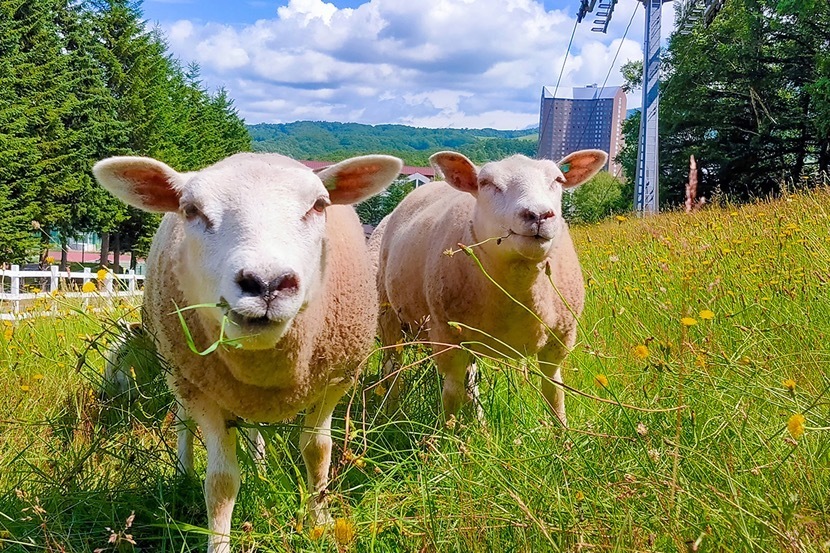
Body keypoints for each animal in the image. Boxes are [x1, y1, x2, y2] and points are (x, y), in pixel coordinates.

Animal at [92, 152, 404, 552]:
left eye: (319, 205)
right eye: (191, 210)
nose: (267, 284)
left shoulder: (333, 383)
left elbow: (317, 451)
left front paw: (320, 522)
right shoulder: (203, 393)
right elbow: (221, 482)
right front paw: (219, 542)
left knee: (257, 430)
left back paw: (261, 466)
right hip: (178, 370)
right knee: (183, 423)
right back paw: (183, 473)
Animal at [376, 149, 604, 424]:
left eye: (558, 180)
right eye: (486, 183)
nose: (539, 215)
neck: (518, 289)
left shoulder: (561, 338)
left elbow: (554, 392)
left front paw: (562, 433)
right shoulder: (447, 336)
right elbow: (451, 394)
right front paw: (447, 434)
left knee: (471, 382)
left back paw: (480, 424)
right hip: (388, 312)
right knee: (393, 368)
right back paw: (389, 414)